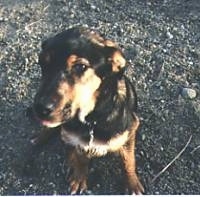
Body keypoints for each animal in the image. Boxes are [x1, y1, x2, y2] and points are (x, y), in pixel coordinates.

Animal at [31, 26, 144, 195]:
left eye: (80, 67)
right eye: (42, 63)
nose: (40, 108)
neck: (91, 120)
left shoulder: (130, 130)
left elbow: (128, 161)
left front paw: (132, 184)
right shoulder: (78, 140)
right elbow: (81, 158)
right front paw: (79, 177)